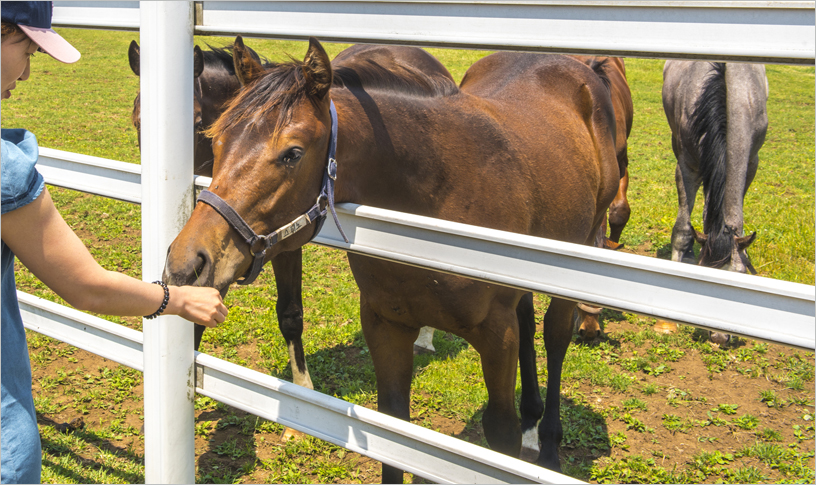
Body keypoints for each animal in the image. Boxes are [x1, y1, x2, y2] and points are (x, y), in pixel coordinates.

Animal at [163, 37, 616, 480]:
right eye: (217, 138)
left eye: (292, 153)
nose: (187, 262)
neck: (440, 195)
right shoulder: (386, 326)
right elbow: (394, 433)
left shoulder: (496, 336)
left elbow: (500, 435)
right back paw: (532, 423)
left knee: (555, 335)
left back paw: (548, 446)